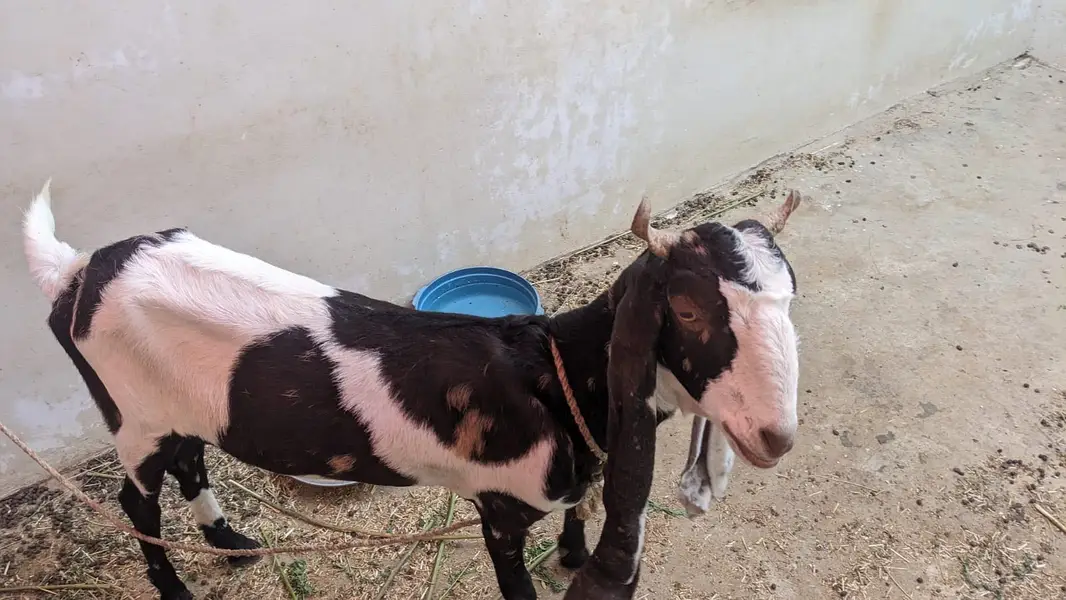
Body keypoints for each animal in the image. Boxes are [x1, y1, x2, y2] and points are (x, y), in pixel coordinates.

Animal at [22, 180, 801, 600]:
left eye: (791, 292)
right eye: (689, 310)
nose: (775, 436)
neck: (555, 375)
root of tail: (76, 274)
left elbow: (580, 509)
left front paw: (574, 557)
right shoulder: (498, 510)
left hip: (180, 406)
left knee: (191, 460)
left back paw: (231, 541)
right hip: (131, 414)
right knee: (136, 501)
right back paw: (177, 583)